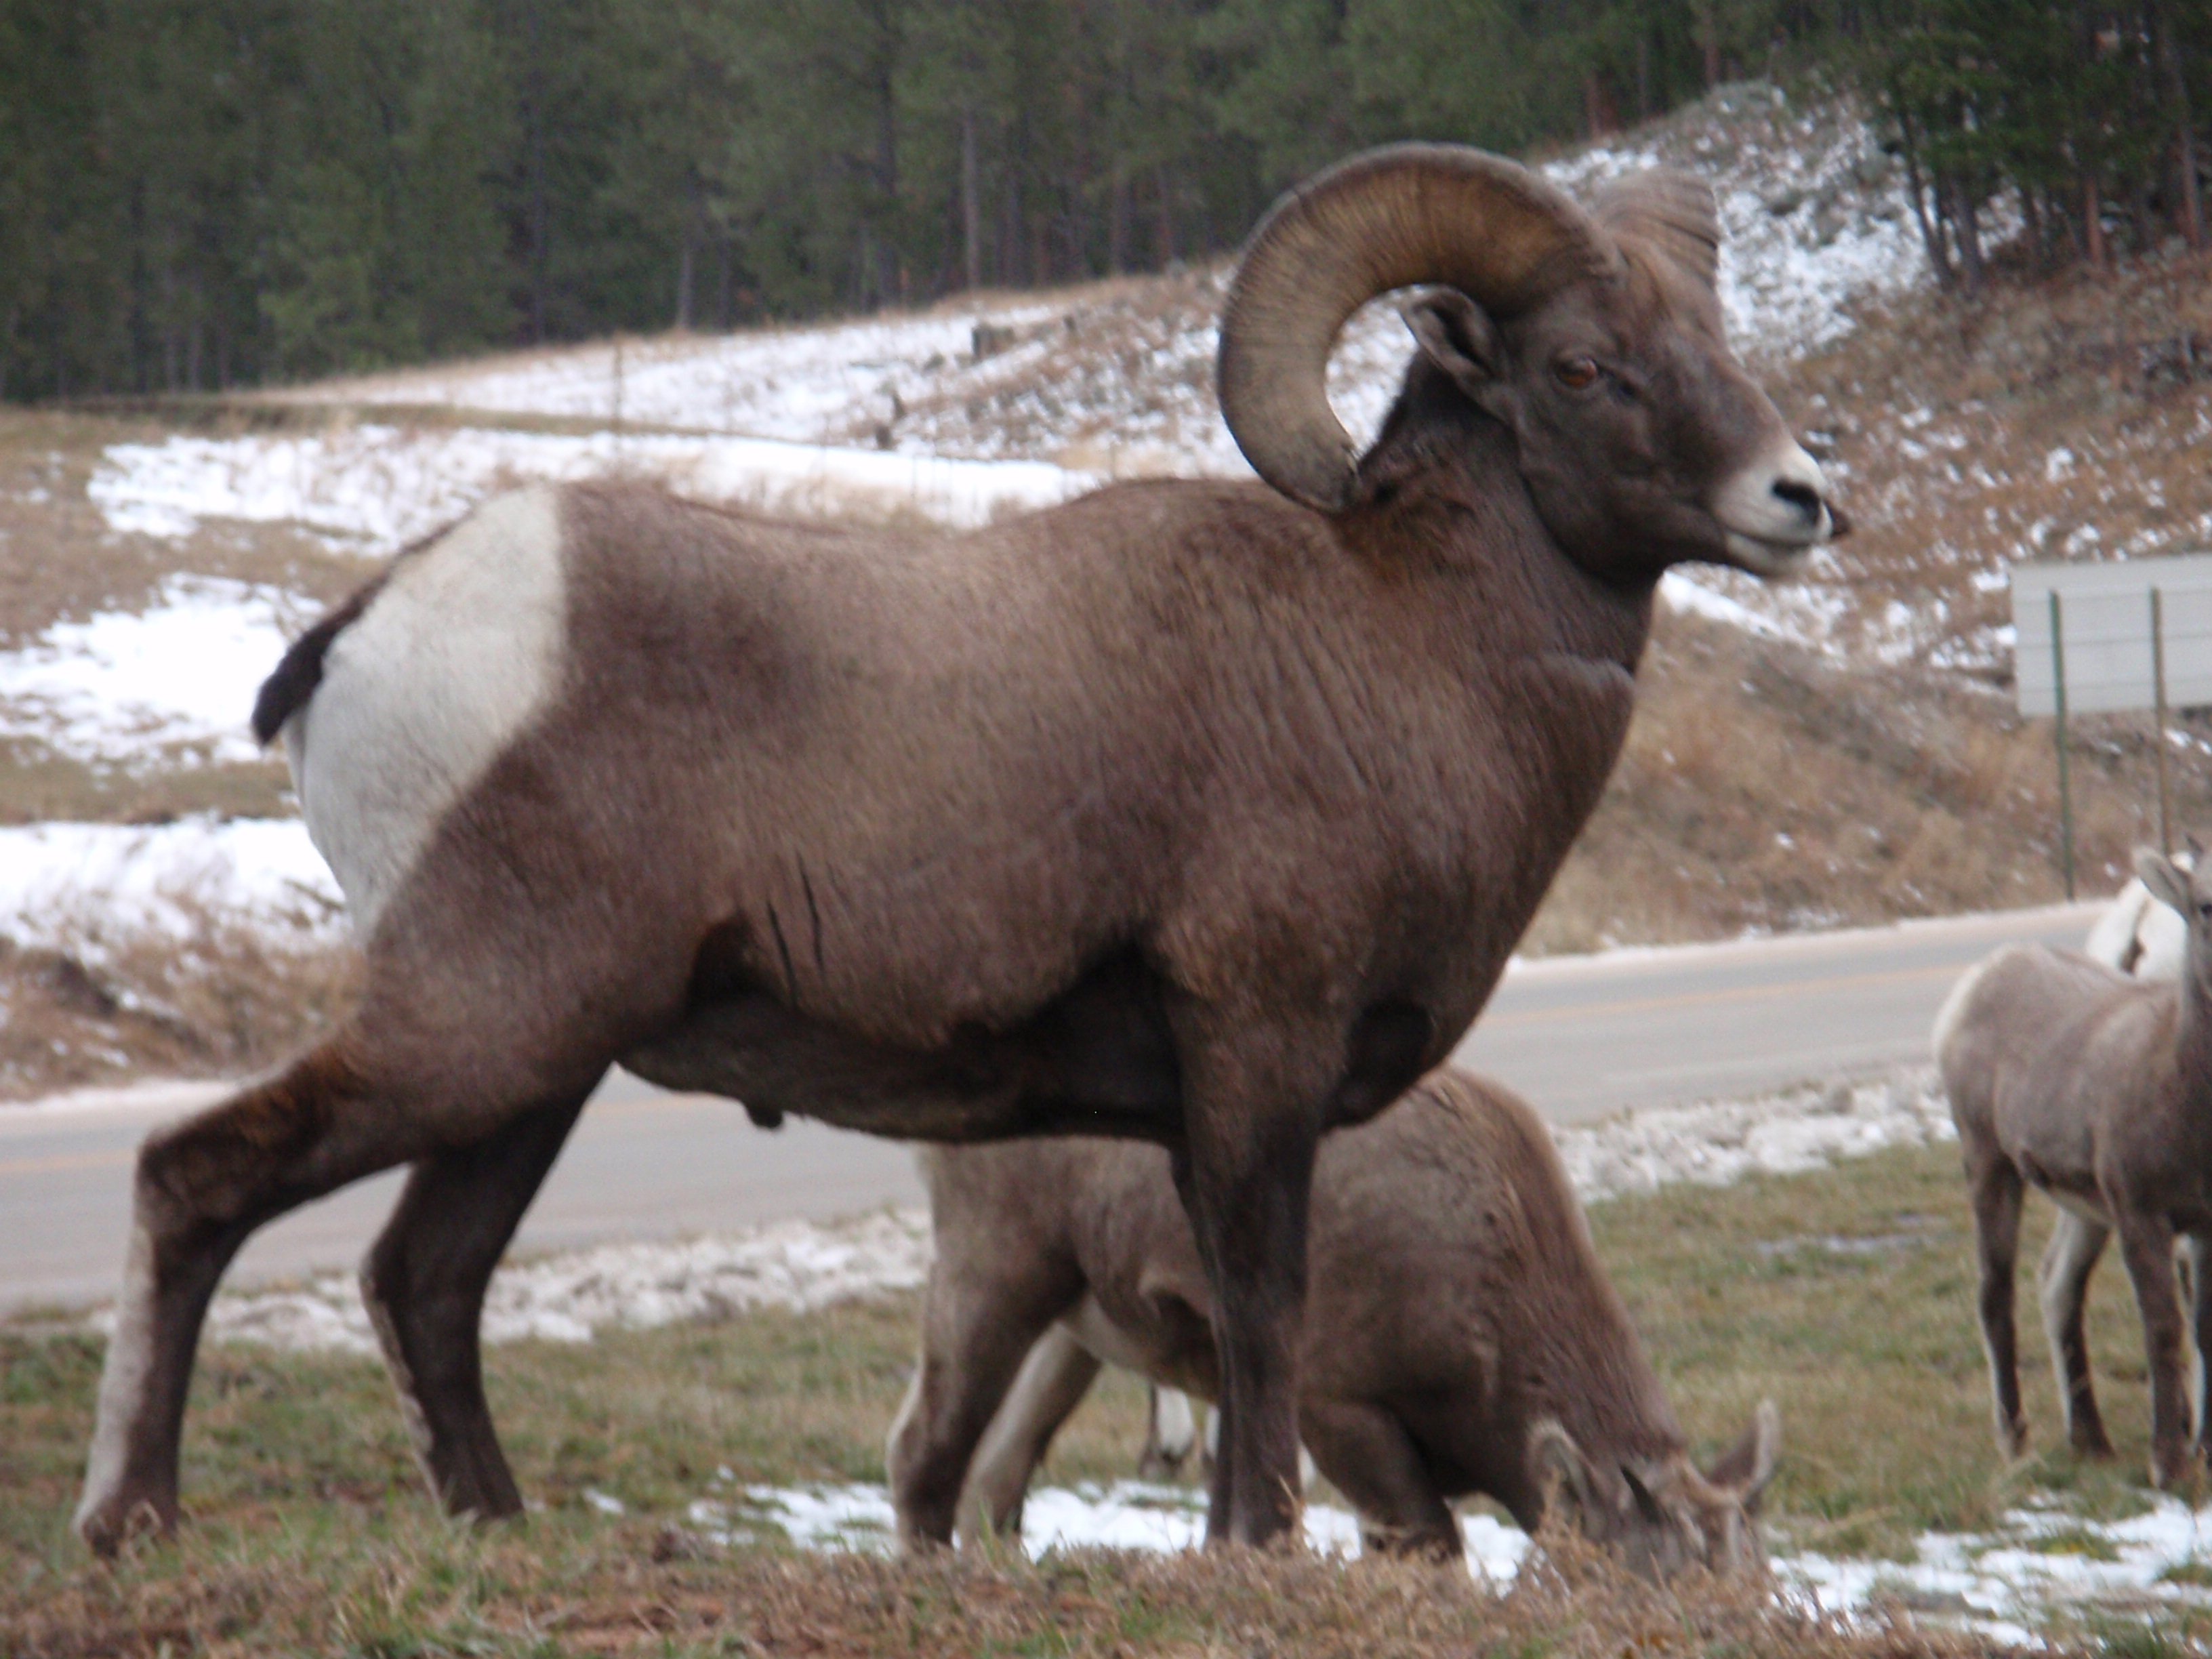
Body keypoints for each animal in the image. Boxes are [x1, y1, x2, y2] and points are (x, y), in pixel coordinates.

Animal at [892, 1066, 1779, 1577]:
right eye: (1647, 1583)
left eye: (1759, 1590)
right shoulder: (1339, 1401)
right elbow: (1428, 1546)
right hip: (997, 1264)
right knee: (921, 1448)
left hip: (1073, 1326)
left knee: (997, 1476)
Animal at [1938, 849, 2212, 1488]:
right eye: (2205, 905)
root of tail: (1973, 984)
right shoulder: (2141, 1208)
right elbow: (2163, 1328)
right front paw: (2169, 1464)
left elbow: (2206, 1328)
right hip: (1989, 1160)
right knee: (1996, 1291)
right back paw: (2016, 1443)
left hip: (2083, 1204)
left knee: (2057, 1282)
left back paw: (2091, 1440)